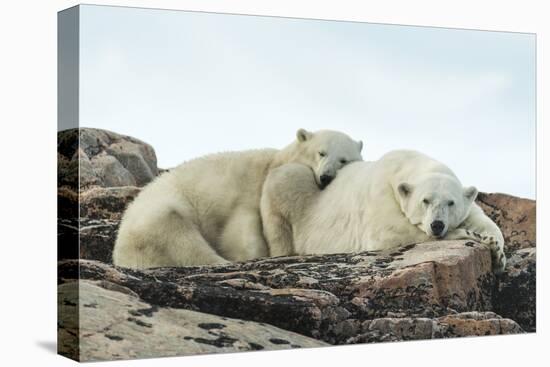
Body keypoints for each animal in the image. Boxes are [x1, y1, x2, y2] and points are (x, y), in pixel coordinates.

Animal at [112, 129, 364, 268]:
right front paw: (252, 254)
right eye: (321, 152)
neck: (274, 163)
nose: (326, 177)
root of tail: (119, 252)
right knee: (182, 239)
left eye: (344, 159)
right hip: (160, 214)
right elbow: (240, 230)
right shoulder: (246, 192)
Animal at [264, 150, 508, 274]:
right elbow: (389, 232)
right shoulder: (382, 193)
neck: (405, 163)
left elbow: (483, 221)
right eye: (425, 200)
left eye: (451, 203)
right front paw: (473, 236)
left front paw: (497, 251)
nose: (437, 225)